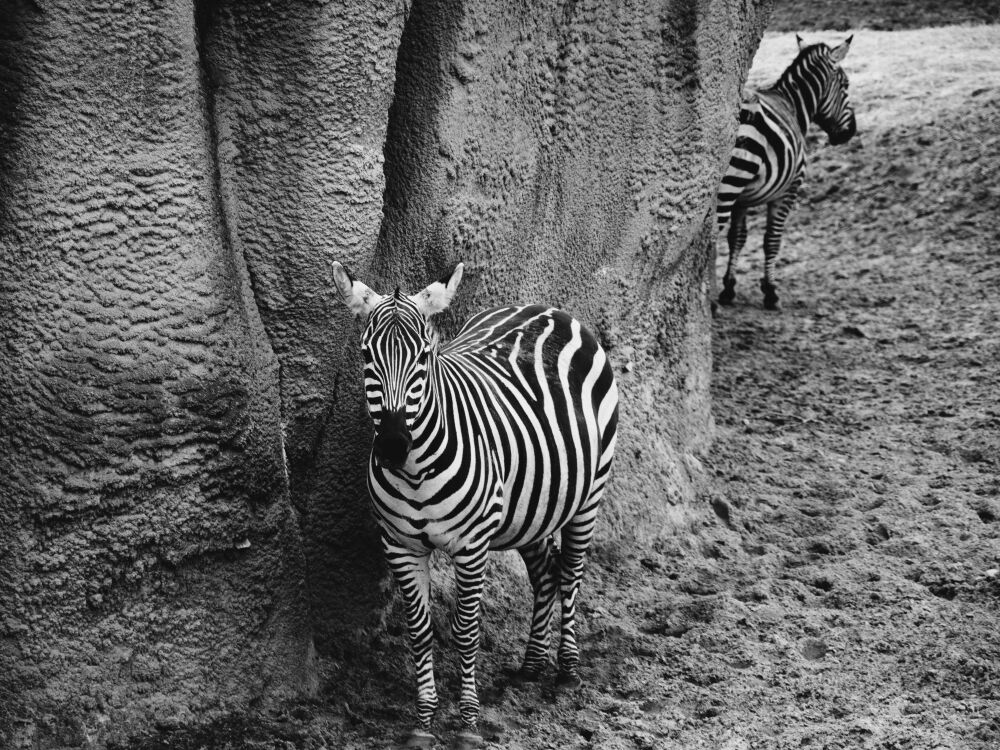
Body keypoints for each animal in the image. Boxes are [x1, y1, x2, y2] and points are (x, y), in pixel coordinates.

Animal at [334, 262, 616, 748]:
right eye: (367, 357)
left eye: (425, 356)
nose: (392, 446)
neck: (415, 472)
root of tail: (546, 308)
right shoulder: (400, 546)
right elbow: (420, 632)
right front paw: (423, 722)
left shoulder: (471, 546)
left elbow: (466, 631)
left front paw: (467, 723)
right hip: (531, 505)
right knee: (545, 574)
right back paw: (531, 666)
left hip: (588, 496)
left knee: (571, 574)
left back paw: (567, 670)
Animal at [716, 34, 856, 312]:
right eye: (845, 85)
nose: (851, 131)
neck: (794, 107)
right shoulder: (789, 189)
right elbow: (772, 239)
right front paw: (770, 292)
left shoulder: (742, 200)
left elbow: (737, 237)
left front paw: (729, 288)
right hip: (732, 183)